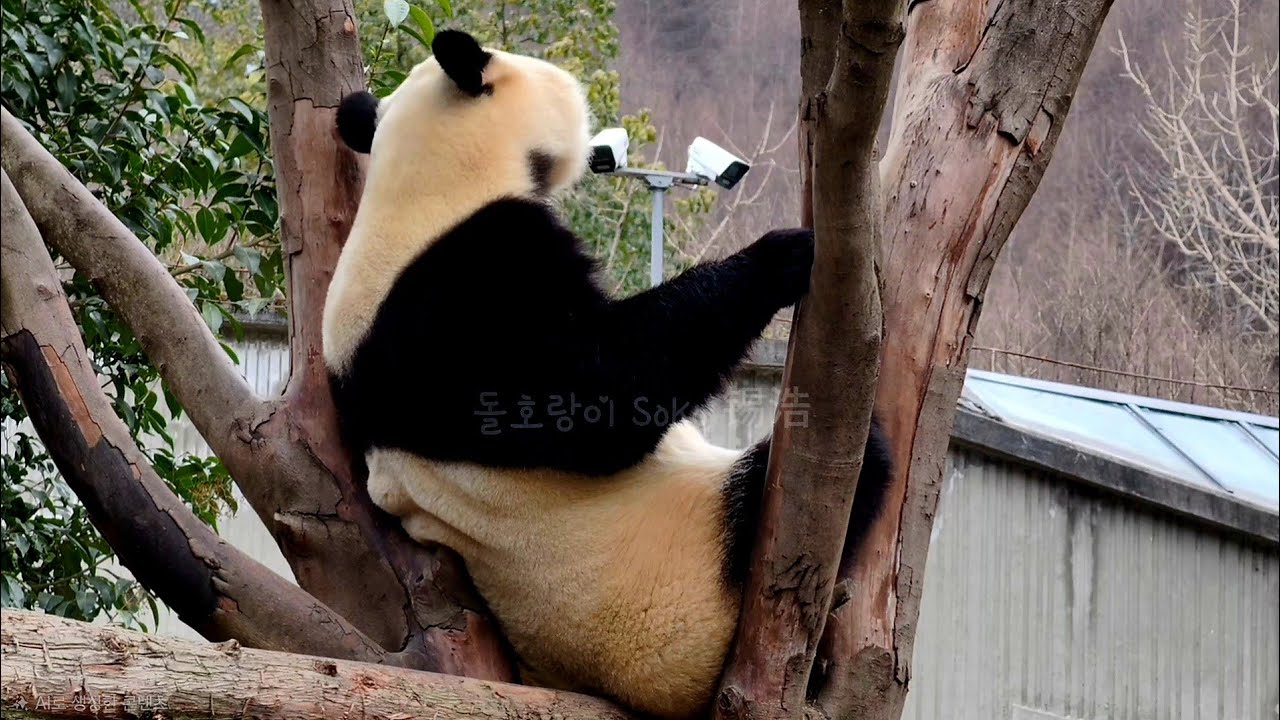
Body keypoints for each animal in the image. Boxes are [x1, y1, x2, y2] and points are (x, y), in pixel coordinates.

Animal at [322, 29, 891, 720]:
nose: (597, 148)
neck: (423, 181)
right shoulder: (466, 292)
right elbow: (600, 392)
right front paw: (783, 255)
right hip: (679, 594)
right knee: (845, 469)